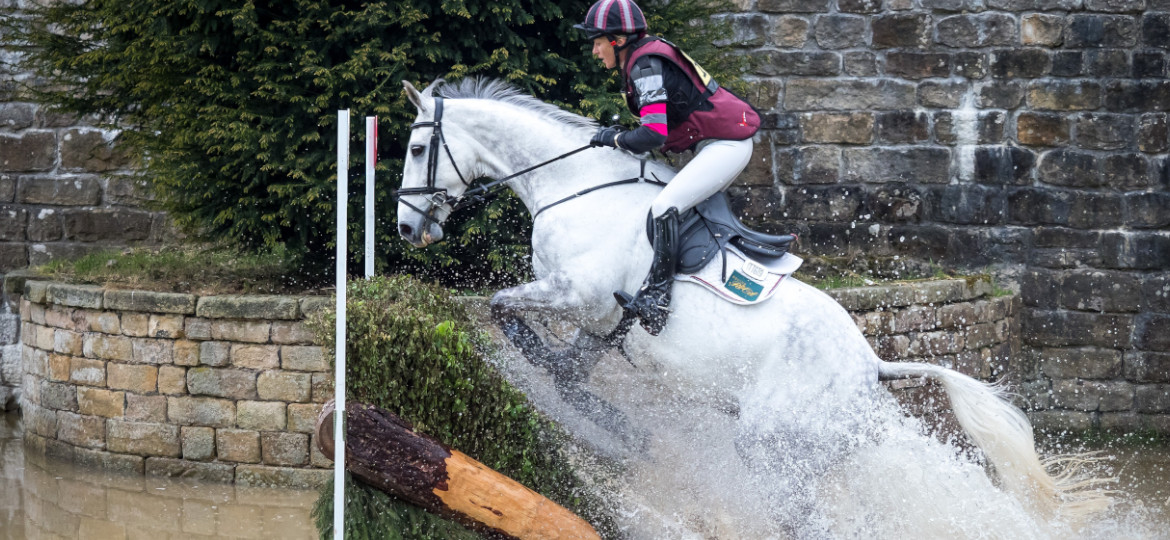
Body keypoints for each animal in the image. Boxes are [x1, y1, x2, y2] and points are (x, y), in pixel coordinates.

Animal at [393, 77, 1104, 535]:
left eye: (417, 149)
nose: (403, 228)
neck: (571, 185)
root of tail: (871, 365)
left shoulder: (576, 295)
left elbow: (502, 309)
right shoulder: (598, 323)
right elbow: (568, 369)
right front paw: (611, 422)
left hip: (772, 448)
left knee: (806, 522)